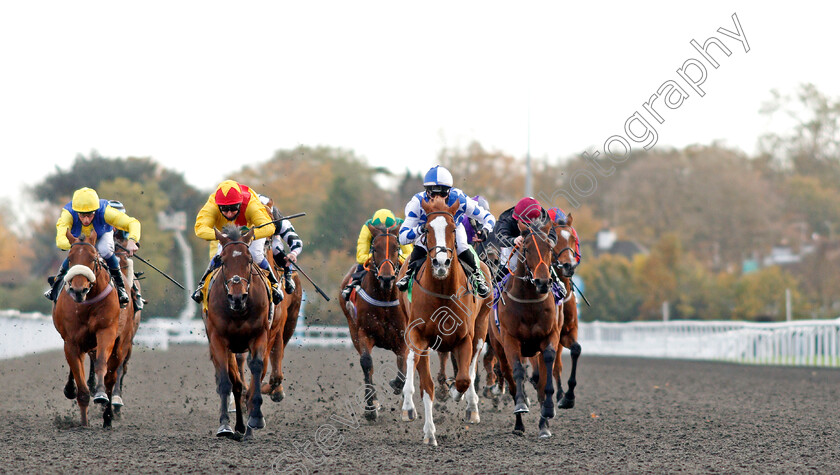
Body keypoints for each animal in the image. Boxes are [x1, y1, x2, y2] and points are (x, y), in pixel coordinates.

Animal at [53, 230, 123, 428]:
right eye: (70, 258)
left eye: (93, 259)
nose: (79, 290)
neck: (87, 303)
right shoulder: (71, 342)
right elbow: (79, 379)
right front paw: (84, 423)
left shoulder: (106, 331)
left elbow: (100, 364)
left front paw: (99, 394)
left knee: (111, 377)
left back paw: (108, 416)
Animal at [203, 225, 270, 440]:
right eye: (222, 261)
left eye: (249, 260)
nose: (237, 297)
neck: (239, 311)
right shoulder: (218, 340)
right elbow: (226, 382)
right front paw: (224, 425)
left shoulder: (259, 335)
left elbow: (256, 369)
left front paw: (256, 418)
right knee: (236, 384)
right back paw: (238, 426)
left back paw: (246, 428)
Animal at [340, 223, 408, 420]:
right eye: (374, 248)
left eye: (396, 248)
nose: (386, 278)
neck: (385, 297)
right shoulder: (364, 332)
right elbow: (366, 363)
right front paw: (370, 407)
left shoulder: (403, 337)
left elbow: (403, 368)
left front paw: (396, 386)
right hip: (353, 330)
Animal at [398, 196, 488, 446]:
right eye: (427, 229)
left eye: (453, 228)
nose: (440, 263)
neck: (442, 292)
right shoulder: (419, 336)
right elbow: (426, 385)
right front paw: (429, 432)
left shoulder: (465, 337)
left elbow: (464, 378)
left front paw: (457, 392)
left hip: (481, 327)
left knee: (472, 368)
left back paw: (471, 406)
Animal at [486, 219, 564, 438]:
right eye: (526, 248)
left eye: (549, 248)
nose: (543, 282)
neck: (529, 301)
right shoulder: (510, 339)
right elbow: (518, 372)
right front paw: (521, 405)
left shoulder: (549, 336)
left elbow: (546, 376)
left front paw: (548, 414)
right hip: (499, 347)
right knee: (510, 378)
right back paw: (519, 424)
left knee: (539, 381)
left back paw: (543, 424)